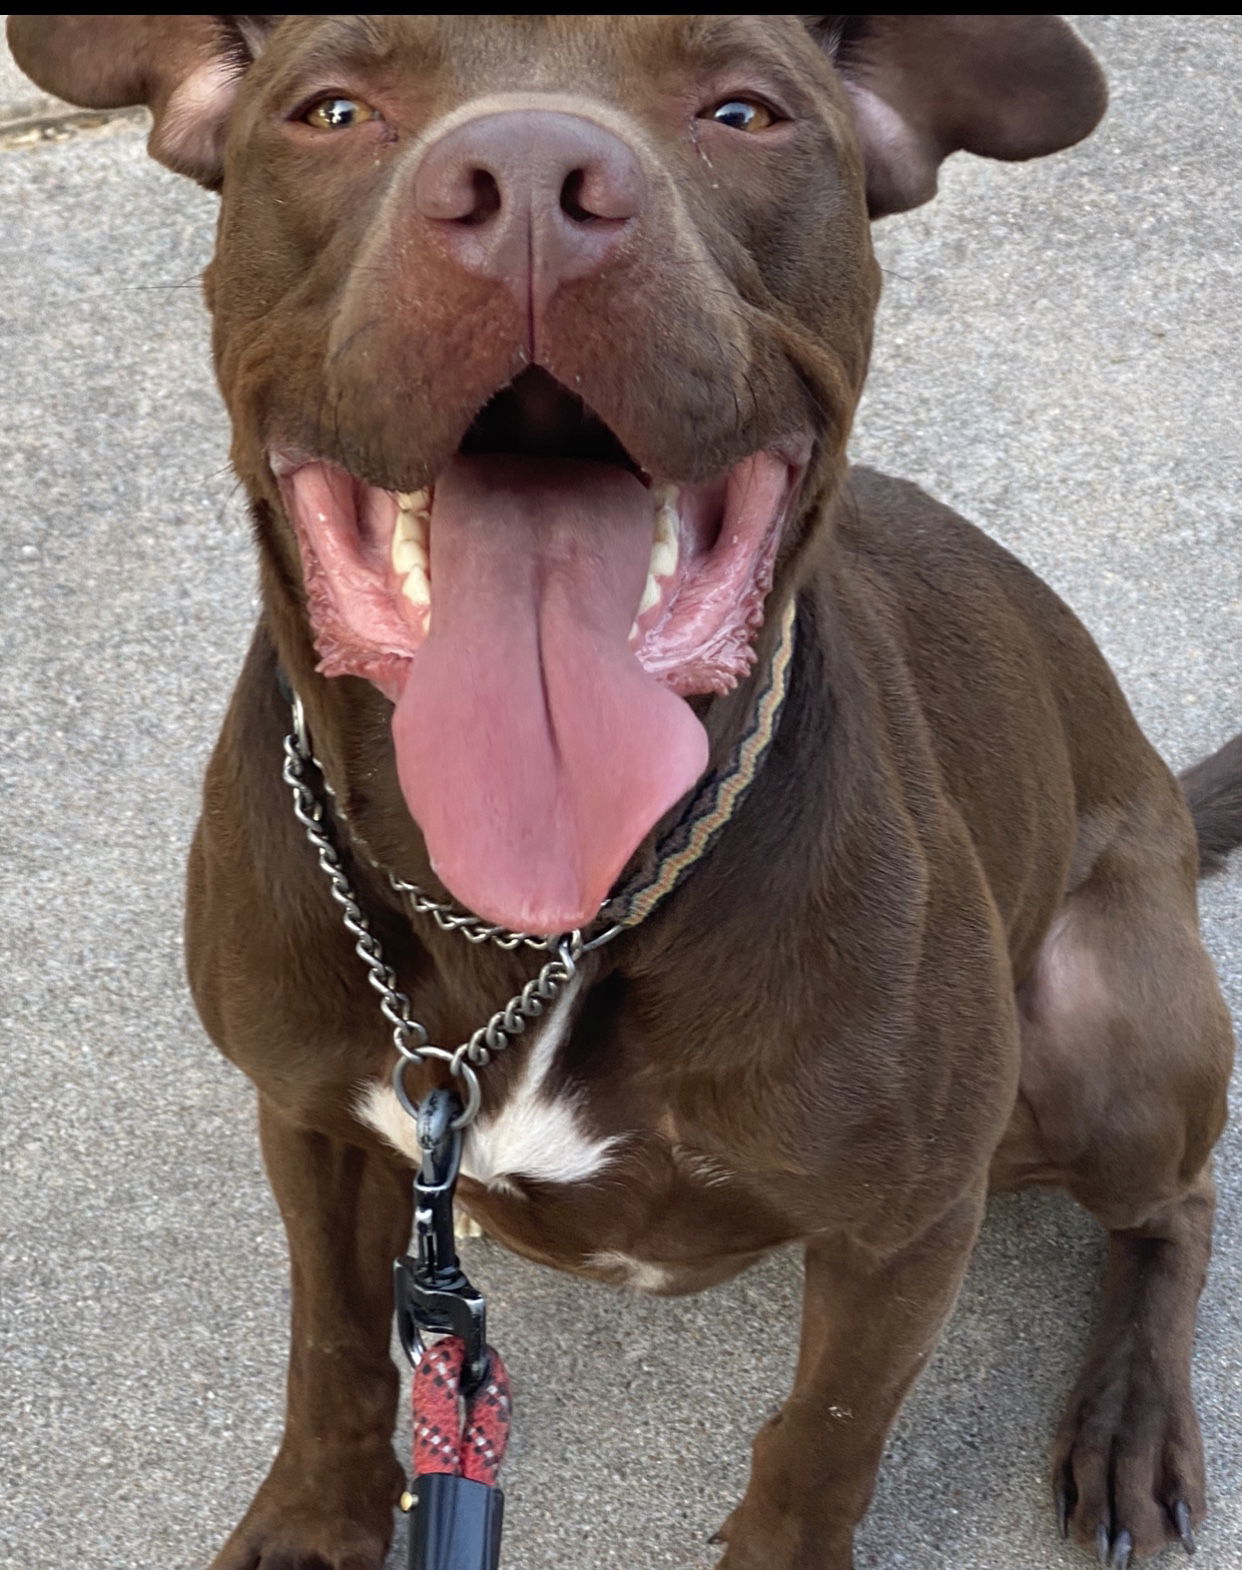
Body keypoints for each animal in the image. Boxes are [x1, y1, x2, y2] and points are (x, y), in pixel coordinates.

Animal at [12, 15, 1242, 1570]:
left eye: (743, 112)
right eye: (333, 109)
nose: (534, 183)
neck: (527, 918)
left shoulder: (904, 1230)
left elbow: (823, 1442)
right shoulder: (310, 1116)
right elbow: (334, 1342)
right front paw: (310, 1516)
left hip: (1107, 1042)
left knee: (1177, 1203)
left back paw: (1129, 1414)